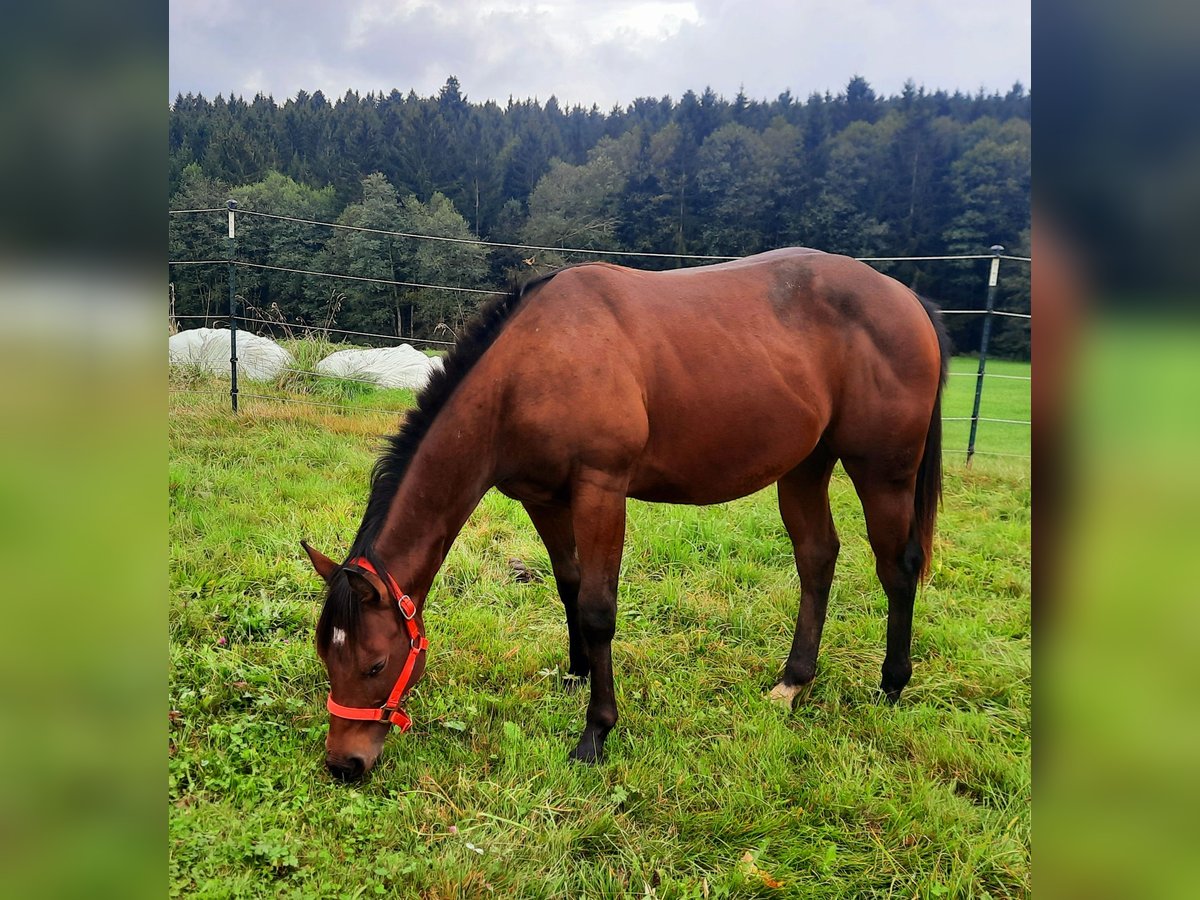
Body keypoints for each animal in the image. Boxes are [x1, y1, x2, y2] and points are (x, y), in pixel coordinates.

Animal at [304, 248, 950, 782]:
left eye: (375, 663)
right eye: (325, 657)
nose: (344, 763)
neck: (532, 363)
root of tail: (905, 297)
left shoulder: (601, 490)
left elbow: (597, 608)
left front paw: (596, 732)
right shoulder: (543, 498)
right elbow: (568, 585)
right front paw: (576, 673)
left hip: (882, 472)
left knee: (897, 567)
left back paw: (891, 684)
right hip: (805, 467)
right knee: (817, 558)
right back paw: (793, 682)